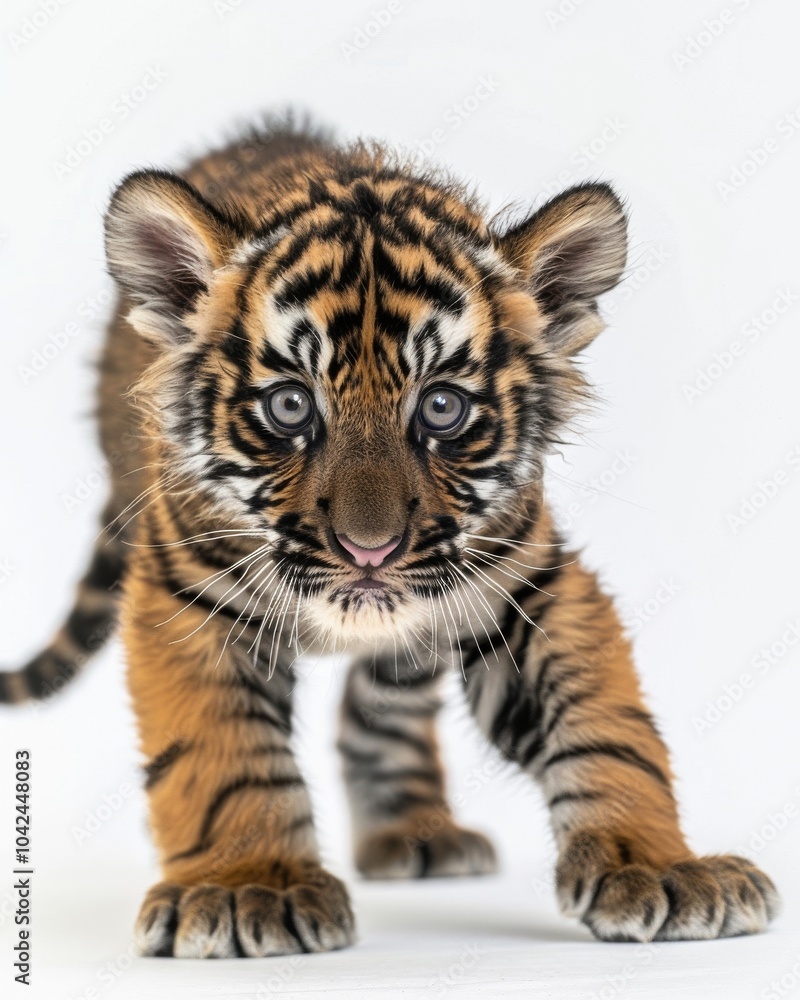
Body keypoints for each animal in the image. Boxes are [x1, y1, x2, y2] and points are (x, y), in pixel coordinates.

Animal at [0, 117, 779, 958]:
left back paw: (417, 833)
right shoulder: (185, 599)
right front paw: (246, 885)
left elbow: (608, 726)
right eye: (289, 406)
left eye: (441, 407)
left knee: (382, 705)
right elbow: (220, 752)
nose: (368, 549)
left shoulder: (527, 584)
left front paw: (661, 867)